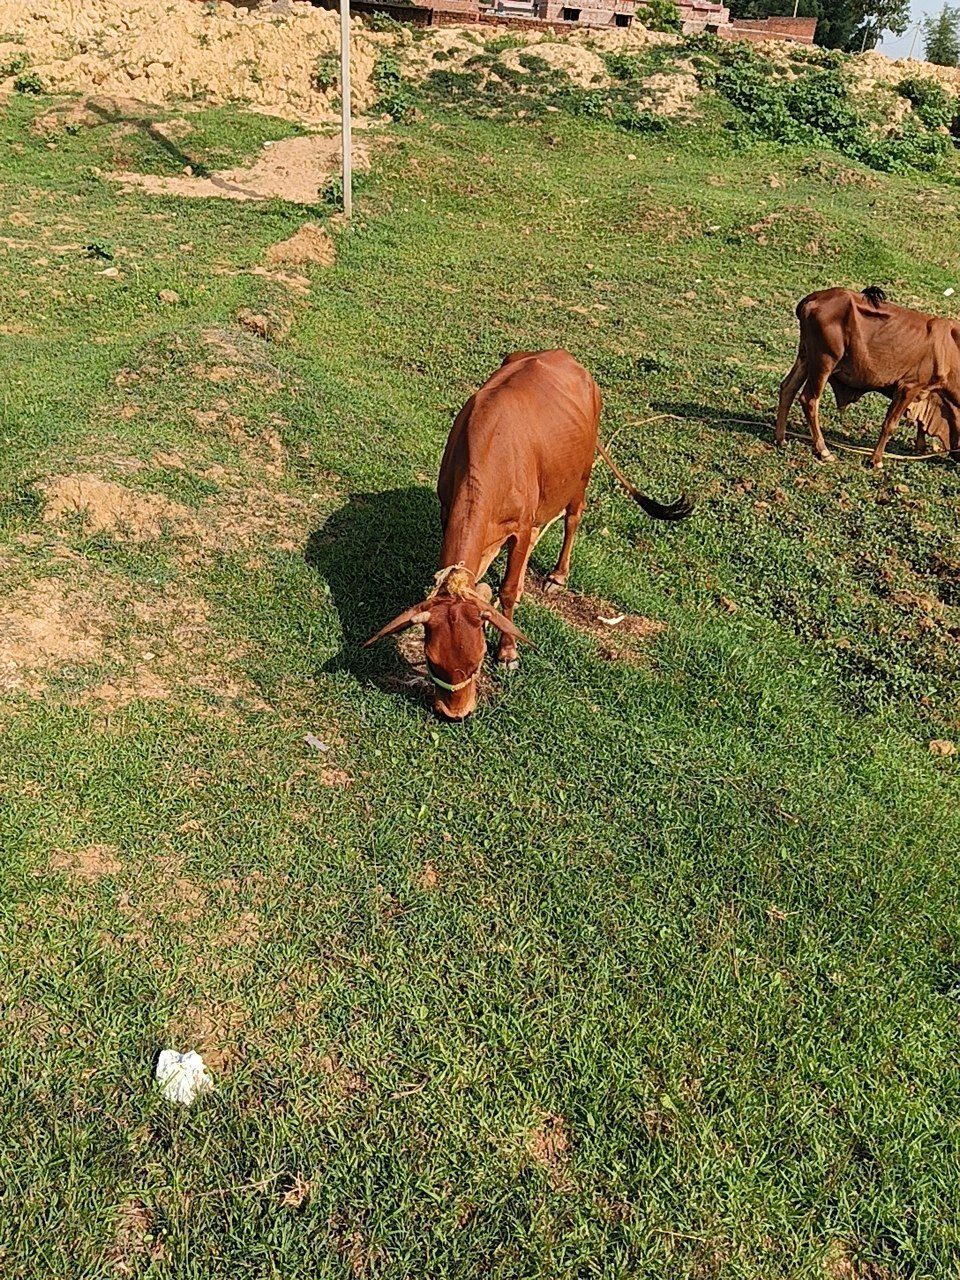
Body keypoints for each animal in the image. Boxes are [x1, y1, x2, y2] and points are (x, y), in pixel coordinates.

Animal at [365, 349, 692, 720]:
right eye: (432, 660)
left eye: (479, 660)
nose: (454, 714)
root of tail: (565, 356)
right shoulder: (447, 510)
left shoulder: (519, 528)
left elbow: (507, 591)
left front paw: (508, 652)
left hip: (580, 476)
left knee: (572, 519)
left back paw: (558, 575)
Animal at [775, 286, 960, 469]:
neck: (949, 349)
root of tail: (813, 297)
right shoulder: (909, 387)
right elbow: (890, 424)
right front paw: (876, 460)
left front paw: (919, 448)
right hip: (824, 360)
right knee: (809, 400)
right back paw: (823, 451)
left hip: (806, 356)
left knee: (788, 388)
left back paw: (781, 439)